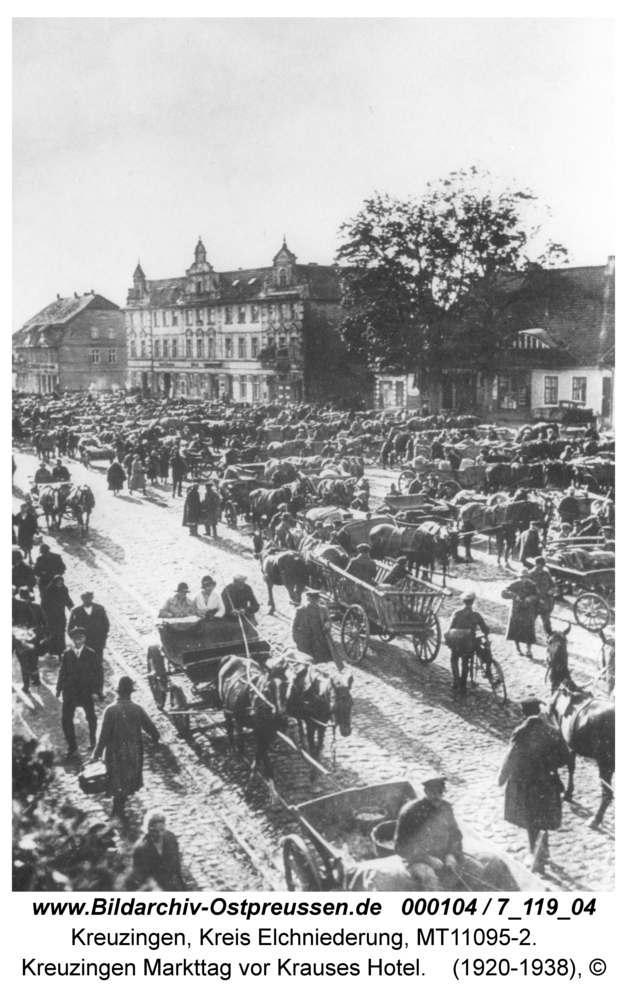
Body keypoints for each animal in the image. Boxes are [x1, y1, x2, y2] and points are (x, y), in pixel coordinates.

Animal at [218, 652, 290, 800]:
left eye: (286, 685)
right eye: (268, 688)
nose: (281, 716)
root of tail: (232, 657)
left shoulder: (269, 734)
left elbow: (261, 754)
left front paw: (271, 788)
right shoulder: (259, 733)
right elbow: (261, 755)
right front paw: (252, 781)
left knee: (239, 728)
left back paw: (241, 749)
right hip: (226, 710)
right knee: (230, 730)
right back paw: (235, 754)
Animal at [548, 624, 616, 828]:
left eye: (547, 641)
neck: (565, 688)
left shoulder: (564, 739)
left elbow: (569, 765)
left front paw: (566, 791)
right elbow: (571, 766)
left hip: (605, 762)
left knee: (607, 793)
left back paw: (595, 819)